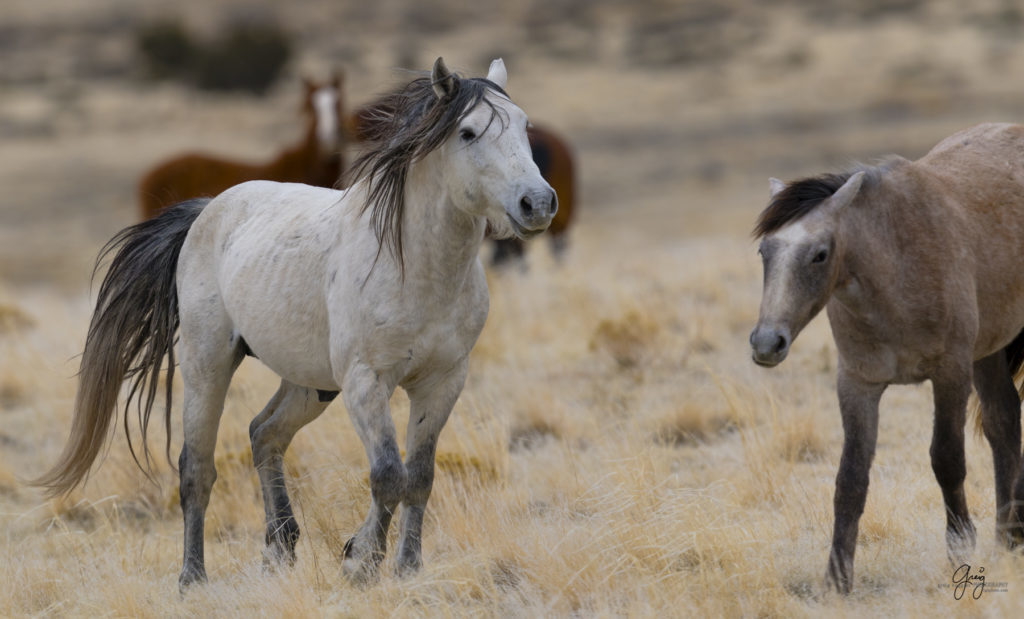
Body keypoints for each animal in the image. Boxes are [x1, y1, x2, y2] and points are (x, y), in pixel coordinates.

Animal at [749, 121, 1024, 594]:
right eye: (765, 252)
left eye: (820, 254)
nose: (767, 343)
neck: (894, 268)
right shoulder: (858, 384)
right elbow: (850, 478)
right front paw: (837, 579)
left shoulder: (949, 374)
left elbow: (946, 459)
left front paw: (959, 546)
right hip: (988, 352)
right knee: (1003, 420)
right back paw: (1008, 541)